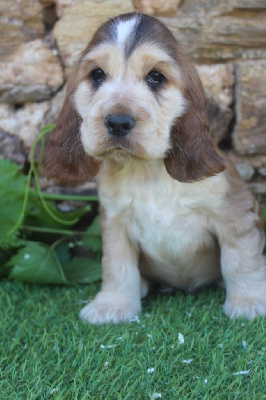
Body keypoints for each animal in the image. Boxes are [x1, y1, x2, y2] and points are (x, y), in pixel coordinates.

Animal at [43, 12, 266, 324]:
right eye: (97, 75)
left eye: (156, 77)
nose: (118, 122)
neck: (147, 171)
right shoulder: (115, 221)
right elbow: (117, 265)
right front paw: (112, 305)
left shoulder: (233, 213)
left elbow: (241, 260)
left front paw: (250, 302)